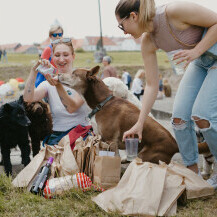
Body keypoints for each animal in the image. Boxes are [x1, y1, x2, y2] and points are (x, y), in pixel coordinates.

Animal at [58, 66, 209, 164]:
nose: (58, 74)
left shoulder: (110, 141)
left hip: (145, 155)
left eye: (73, 73)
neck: (102, 103)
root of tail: (174, 144)